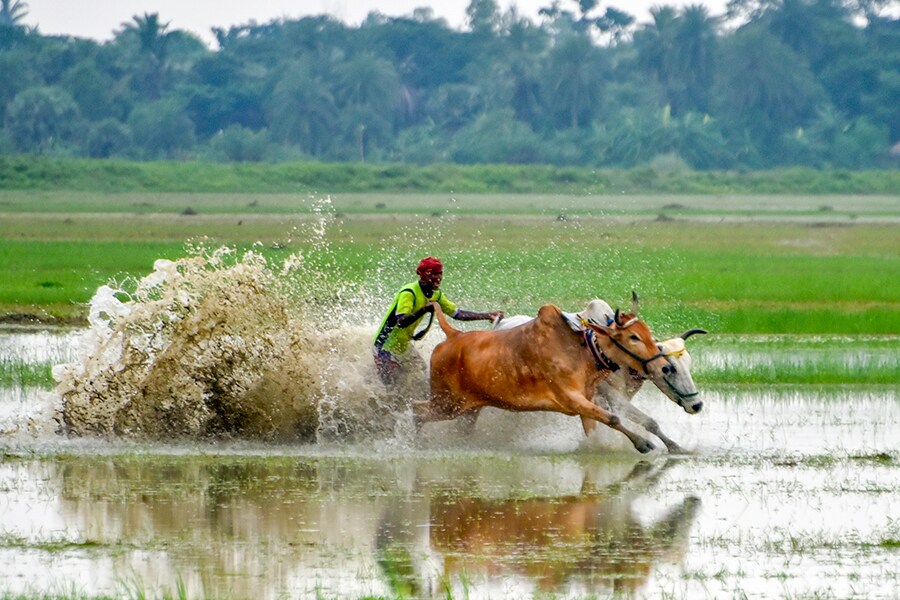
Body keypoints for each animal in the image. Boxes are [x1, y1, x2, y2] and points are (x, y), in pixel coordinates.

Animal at [418, 302, 672, 452]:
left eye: (646, 332)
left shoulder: (586, 402)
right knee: (416, 410)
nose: (664, 367)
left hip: (467, 407)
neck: (582, 352)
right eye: (633, 337)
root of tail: (453, 335)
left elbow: (598, 427)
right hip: (448, 403)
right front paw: (644, 443)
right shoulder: (572, 399)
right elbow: (613, 418)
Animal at [496, 296, 708, 454]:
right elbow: (649, 422)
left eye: (688, 364)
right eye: (670, 368)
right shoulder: (610, 397)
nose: (696, 405)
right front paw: (674, 447)